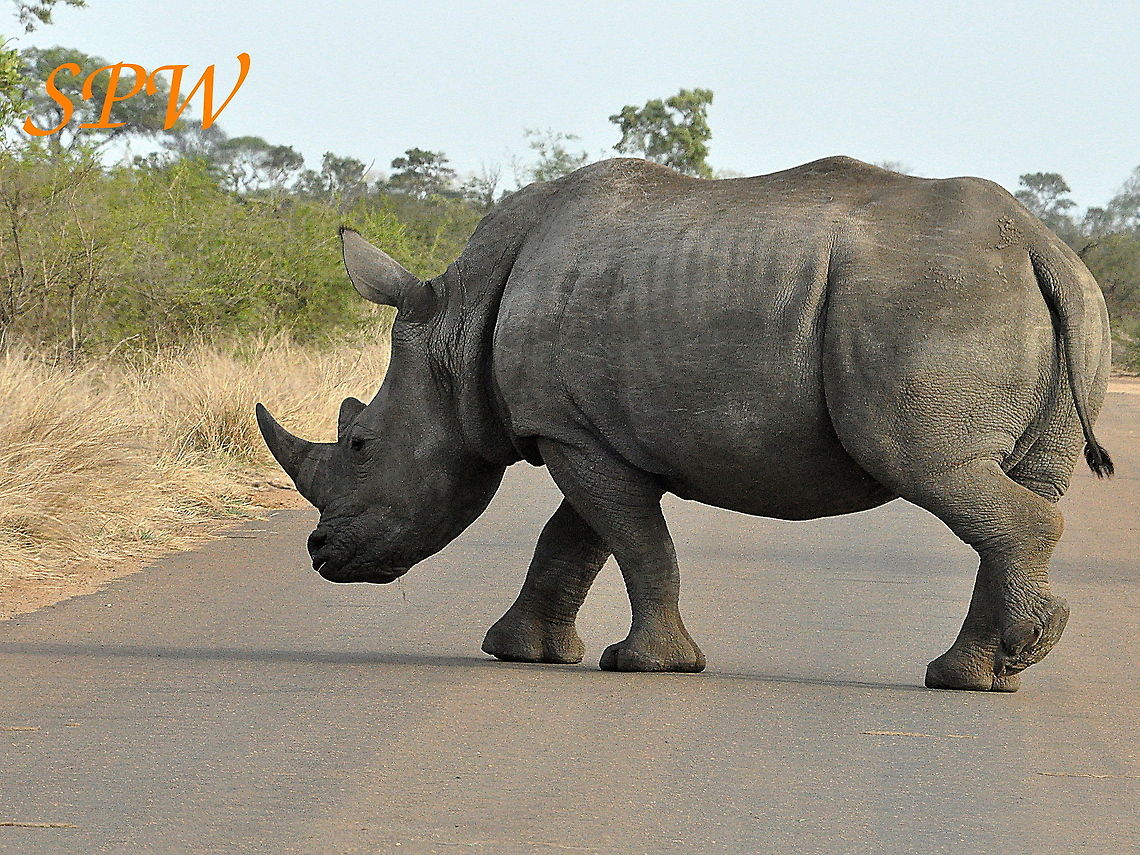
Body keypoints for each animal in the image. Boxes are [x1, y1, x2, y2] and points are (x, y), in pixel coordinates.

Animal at [257, 156, 1113, 692]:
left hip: (932, 302)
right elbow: (577, 540)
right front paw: (520, 652)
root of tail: (1040, 245)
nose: (319, 552)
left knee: (937, 471)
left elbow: (631, 542)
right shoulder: (586, 430)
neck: (455, 329)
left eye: (361, 445)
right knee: (1015, 485)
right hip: (1060, 301)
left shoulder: (569, 431)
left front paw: (641, 665)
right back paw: (977, 674)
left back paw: (1002, 659)